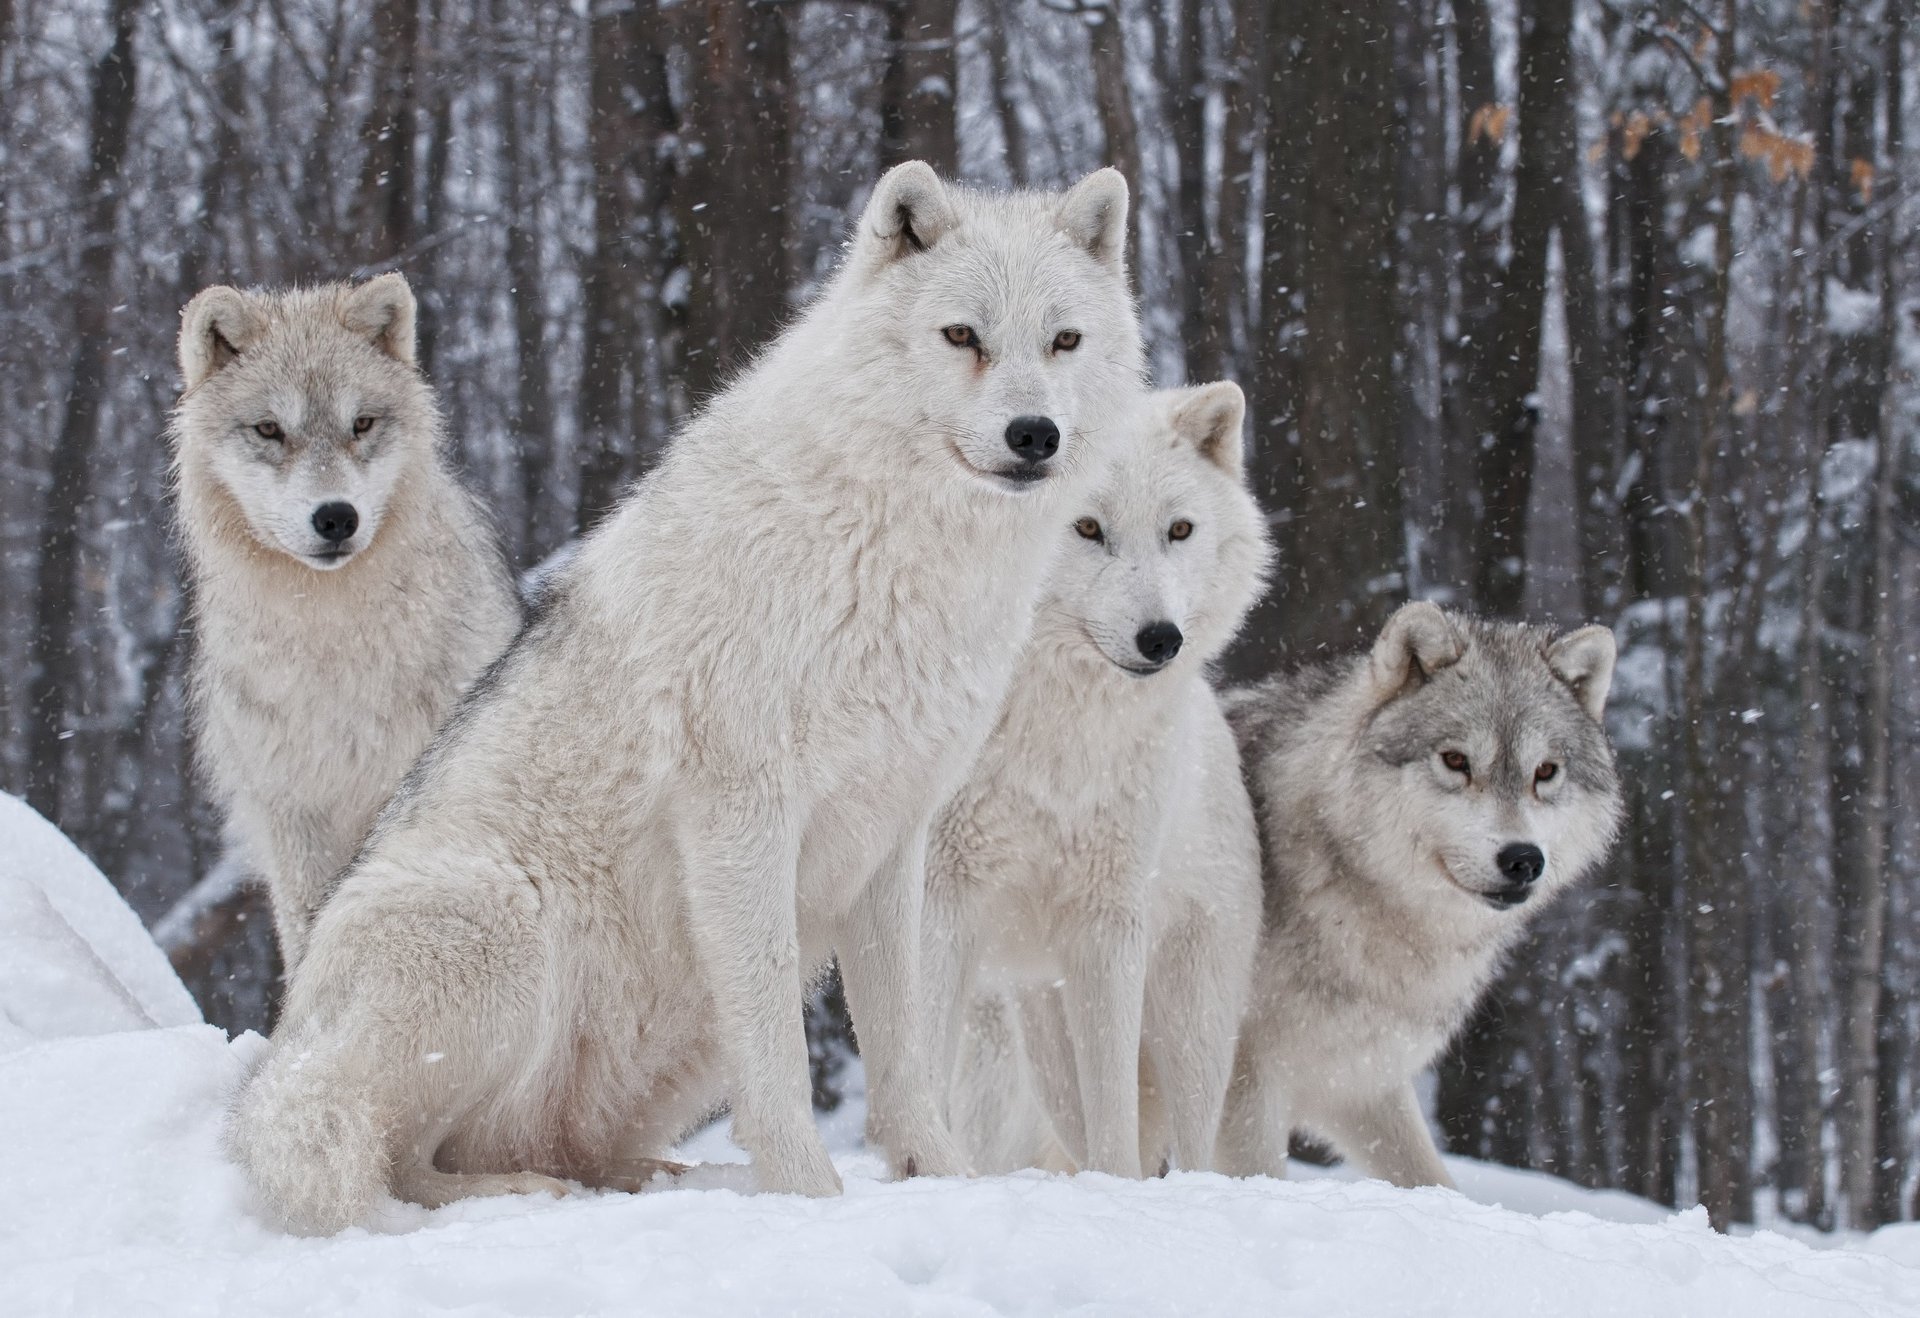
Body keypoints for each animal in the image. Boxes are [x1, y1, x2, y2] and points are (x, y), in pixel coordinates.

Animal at [929, 382, 1274, 1175]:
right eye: (1085, 527)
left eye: (1179, 529)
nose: (1162, 639)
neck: (1052, 736)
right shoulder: (938, 900)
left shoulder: (1109, 922)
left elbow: (1114, 1113)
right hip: (1039, 1032)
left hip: (1190, 1024)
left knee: (1189, 1144)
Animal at [1213, 603, 1620, 1191]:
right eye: (1455, 760)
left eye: (1545, 772)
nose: (1523, 859)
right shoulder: (1243, 1081)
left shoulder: (1361, 1082)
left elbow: (1433, 1181)